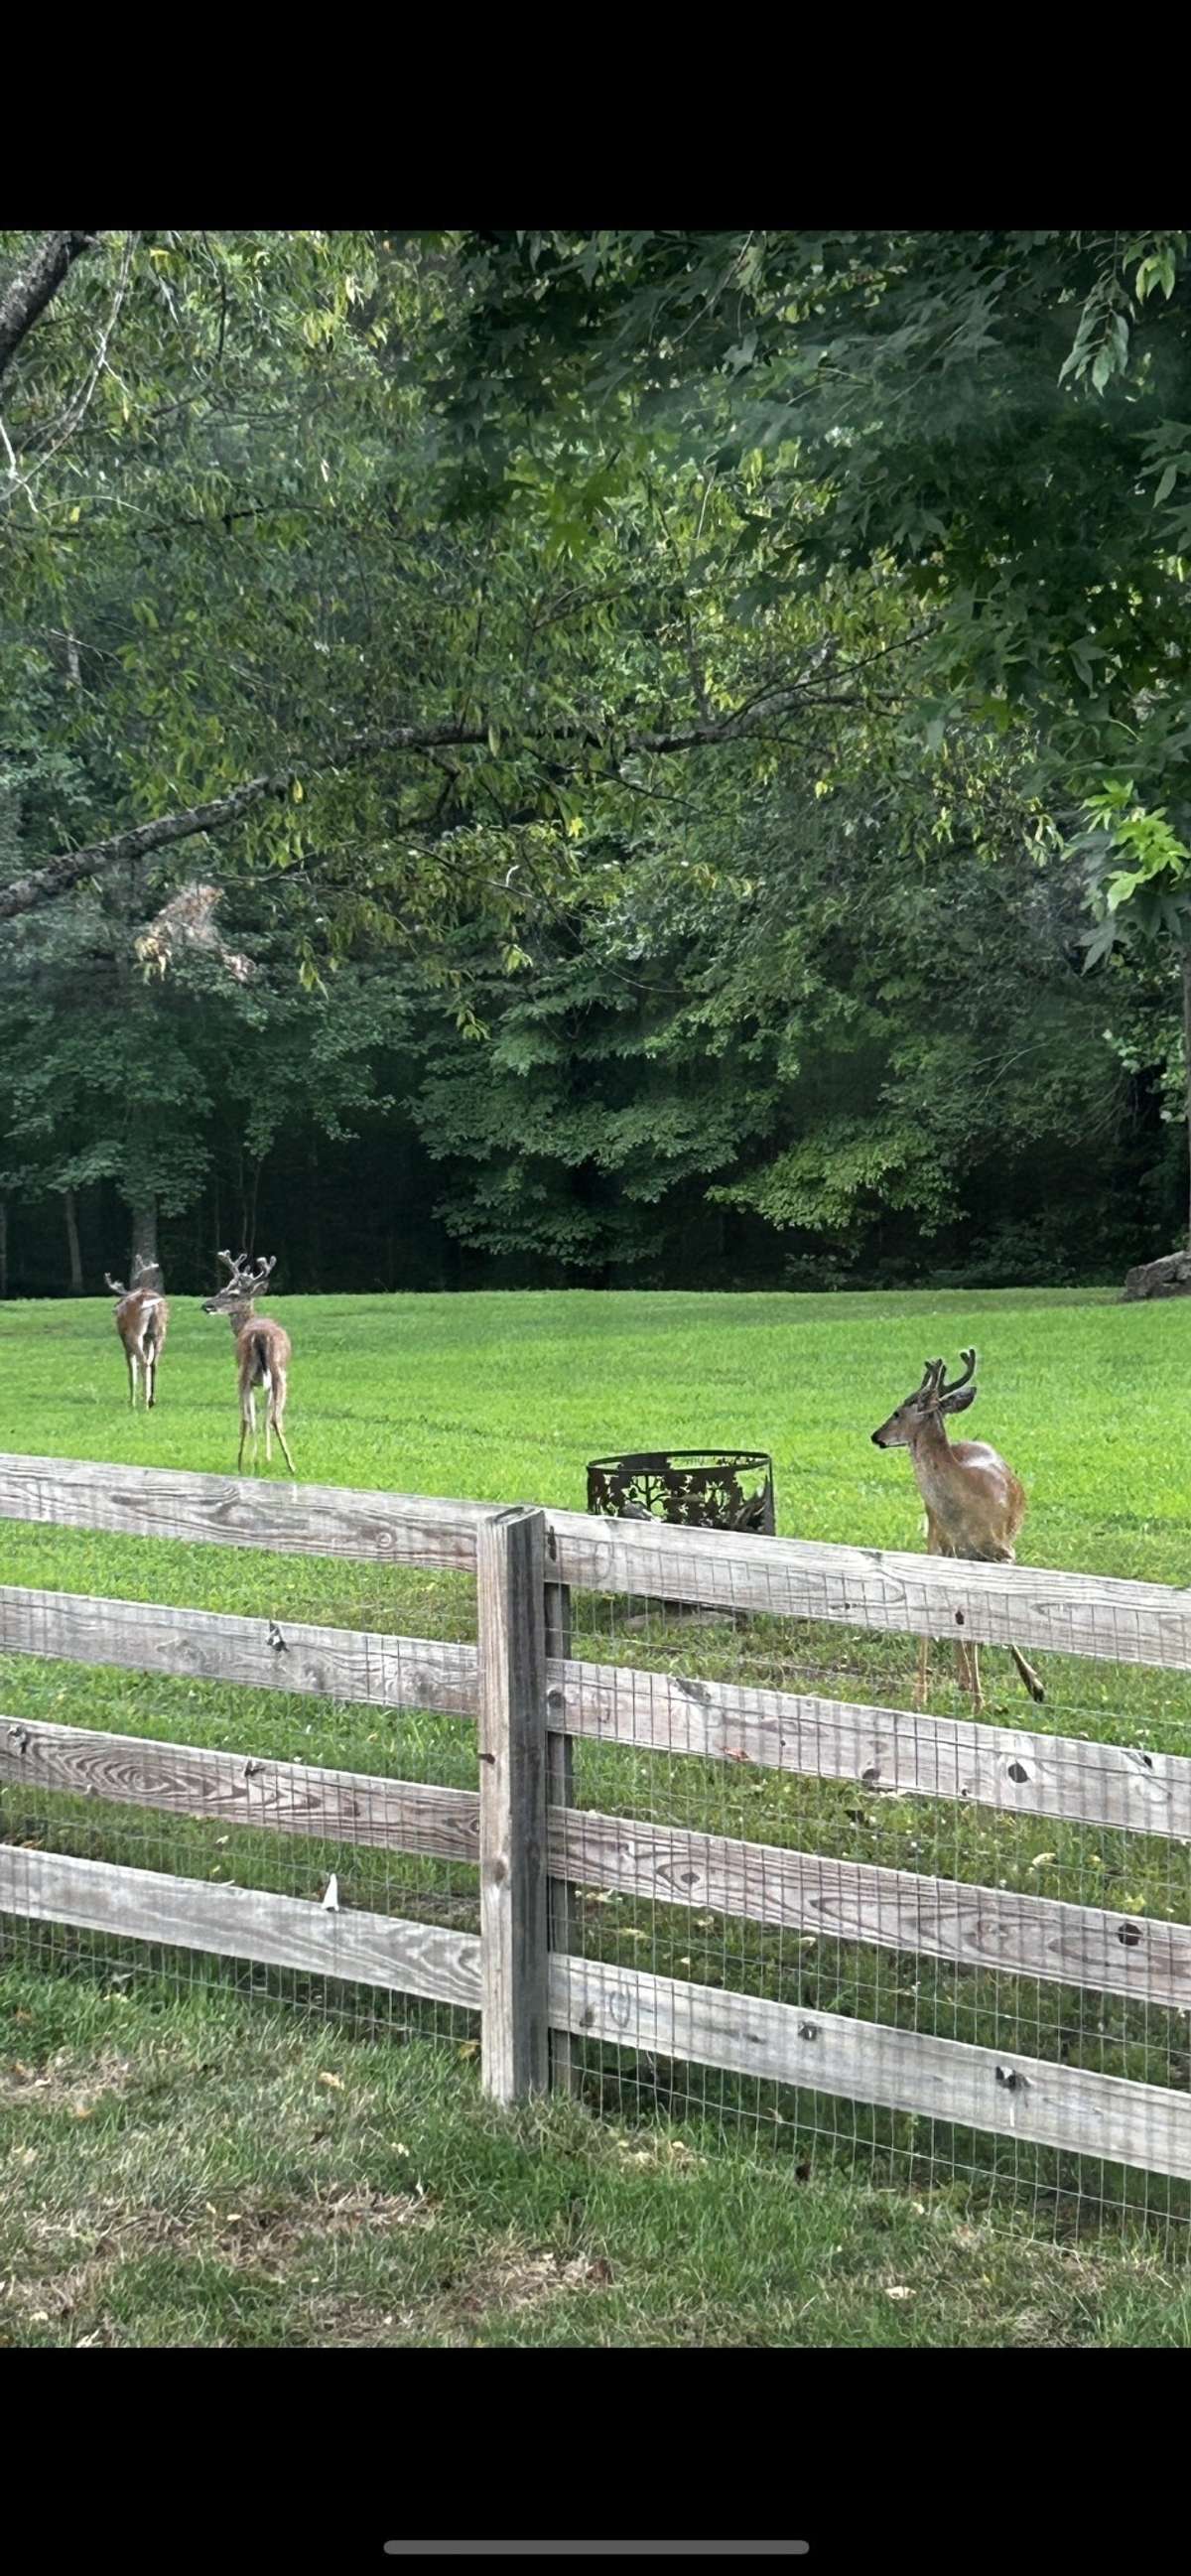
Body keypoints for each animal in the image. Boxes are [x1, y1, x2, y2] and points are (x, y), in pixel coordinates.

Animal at [104, 1254, 169, 1409]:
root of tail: (152, 1305)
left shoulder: (125, 1342)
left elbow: (132, 1368)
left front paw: (132, 1400)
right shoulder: (148, 1338)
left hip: (135, 1333)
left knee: (143, 1361)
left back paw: (144, 1404)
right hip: (160, 1333)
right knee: (153, 1363)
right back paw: (151, 1400)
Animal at [200, 1250, 295, 1476]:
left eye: (233, 1294)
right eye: (222, 1289)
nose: (207, 1305)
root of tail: (260, 1335)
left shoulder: (256, 1383)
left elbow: (256, 1418)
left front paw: (259, 1458)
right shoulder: (262, 1383)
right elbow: (261, 1418)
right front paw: (263, 1458)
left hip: (247, 1372)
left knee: (248, 1418)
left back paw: (242, 1463)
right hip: (277, 1374)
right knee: (271, 1417)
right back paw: (289, 1465)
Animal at [870, 1348, 1044, 1714]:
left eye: (897, 1412)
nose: (876, 1435)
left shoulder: (1004, 1553)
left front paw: (1033, 1685)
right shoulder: (956, 1553)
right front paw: (982, 1699)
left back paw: (968, 1682)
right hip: (936, 1542)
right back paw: (932, 1690)